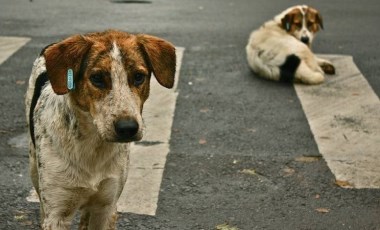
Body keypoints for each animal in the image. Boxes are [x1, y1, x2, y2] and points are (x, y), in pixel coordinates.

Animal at [24, 29, 176, 229]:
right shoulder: (57, 214)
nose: (127, 128)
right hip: (34, 166)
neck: (93, 144)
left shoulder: (106, 206)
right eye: (97, 78)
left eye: (138, 76)